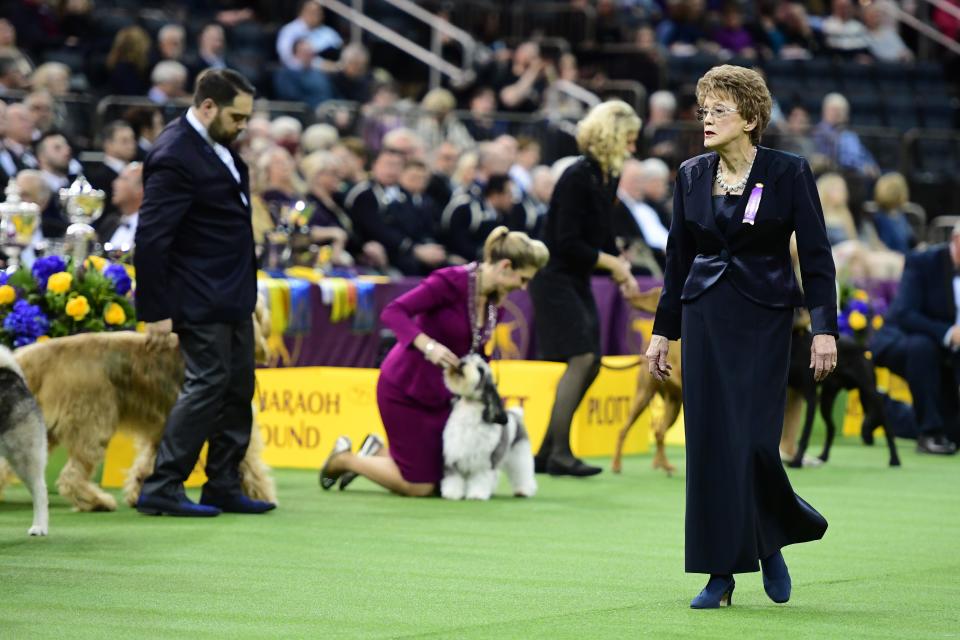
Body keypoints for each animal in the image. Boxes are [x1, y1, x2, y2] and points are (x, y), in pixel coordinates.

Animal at [788, 330, 900, 464]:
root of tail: (861, 347)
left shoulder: (811, 396)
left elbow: (805, 432)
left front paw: (797, 461)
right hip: (827, 400)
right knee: (832, 427)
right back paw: (824, 456)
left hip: (869, 392)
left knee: (885, 420)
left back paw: (895, 459)